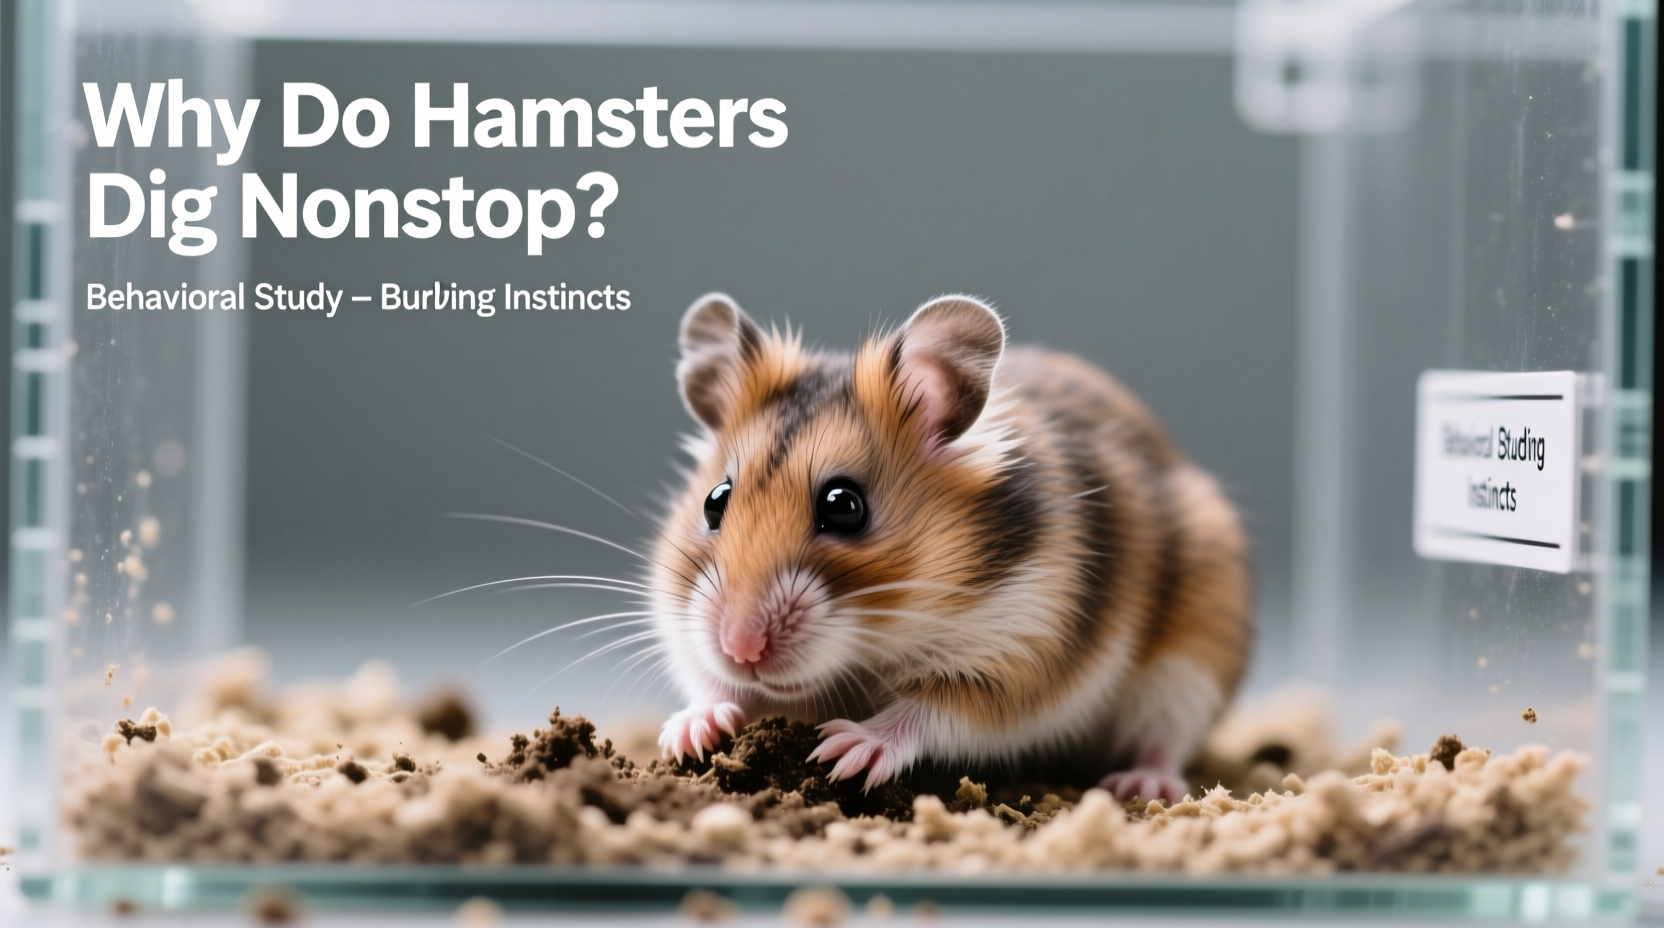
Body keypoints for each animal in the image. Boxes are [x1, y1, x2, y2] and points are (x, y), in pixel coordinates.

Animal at [651, 293, 1251, 800]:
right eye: (714, 501)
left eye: (844, 506)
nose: (742, 650)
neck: (875, 643)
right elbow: (712, 683)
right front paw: (688, 732)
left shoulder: (1022, 653)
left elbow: (933, 709)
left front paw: (844, 752)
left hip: (1197, 651)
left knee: (1166, 738)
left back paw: (1139, 787)